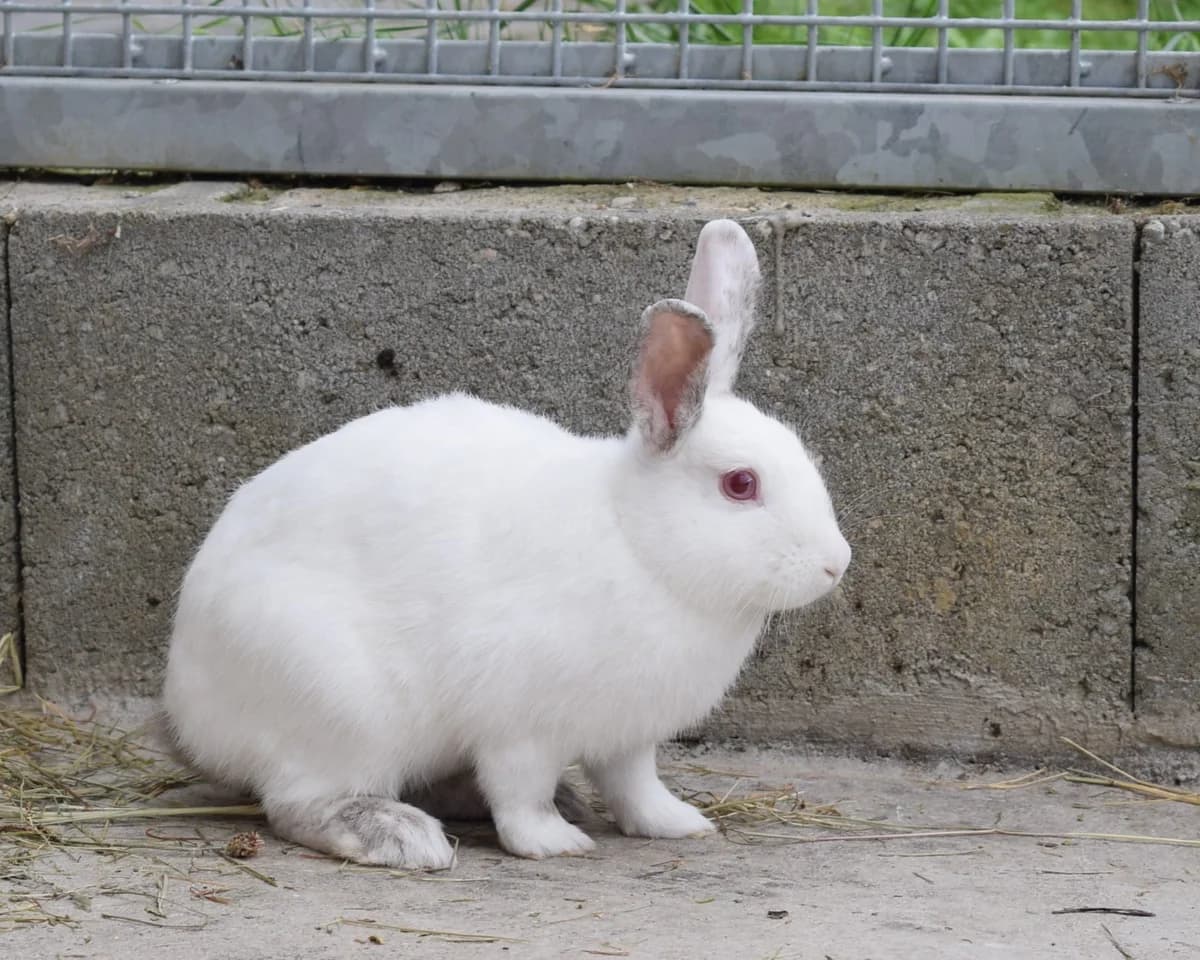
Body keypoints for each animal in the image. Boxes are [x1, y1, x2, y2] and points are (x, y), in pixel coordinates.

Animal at [163, 218, 851, 869]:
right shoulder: (519, 725)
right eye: (741, 484)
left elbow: (634, 787)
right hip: (341, 706)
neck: (639, 544)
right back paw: (404, 837)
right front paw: (552, 844)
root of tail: (187, 711)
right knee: (298, 804)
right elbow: (520, 793)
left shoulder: (629, 735)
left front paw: (677, 823)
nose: (836, 565)